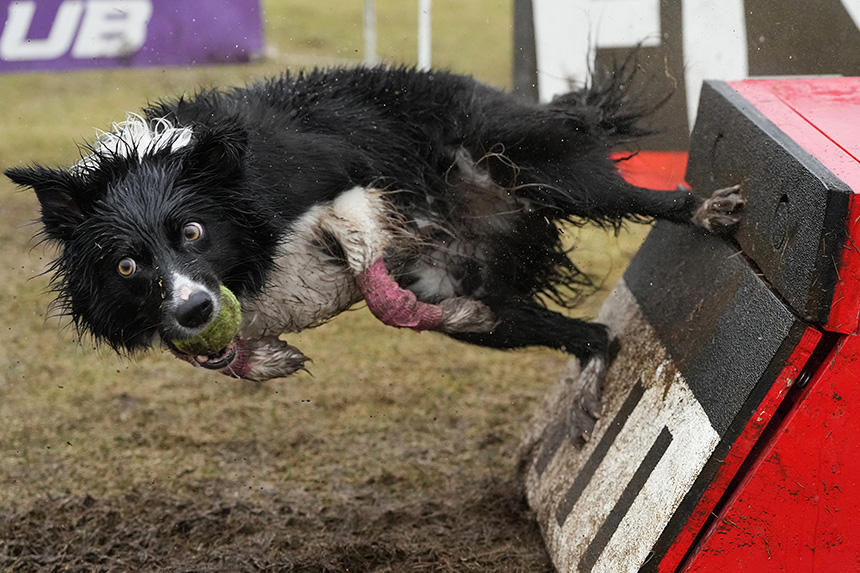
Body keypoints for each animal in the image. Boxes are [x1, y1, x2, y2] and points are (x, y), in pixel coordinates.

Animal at [5, 61, 740, 438]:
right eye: (127, 264)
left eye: (191, 232)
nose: (192, 310)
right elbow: (207, 355)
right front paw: (259, 359)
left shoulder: (349, 188)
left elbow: (378, 287)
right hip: (493, 299)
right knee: (592, 335)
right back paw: (580, 373)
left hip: (544, 169)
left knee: (640, 199)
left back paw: (707, 209)